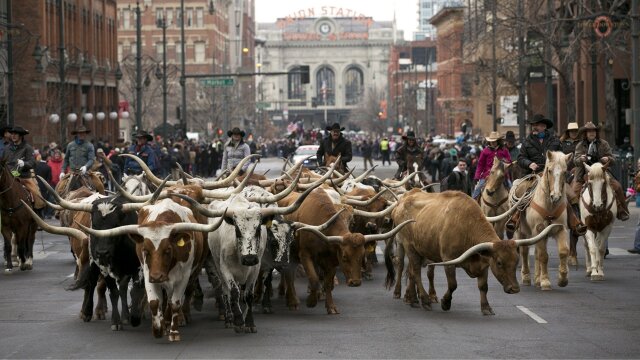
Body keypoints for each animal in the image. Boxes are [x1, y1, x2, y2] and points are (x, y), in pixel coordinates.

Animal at [508, 150, 572, 292]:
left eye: (565, 172)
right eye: (549, 170)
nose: (556, 197)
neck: (549, 205)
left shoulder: (560, 229)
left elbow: (563, 251)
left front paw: (563, 279)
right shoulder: (539, 230)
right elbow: (543, 256)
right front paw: (545, 281)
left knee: (536, 252)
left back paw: (537, 279)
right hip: (521, 231)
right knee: (524, 251)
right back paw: (527, 277)